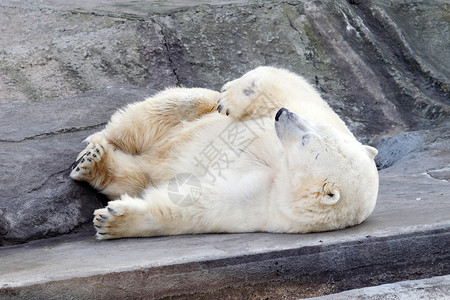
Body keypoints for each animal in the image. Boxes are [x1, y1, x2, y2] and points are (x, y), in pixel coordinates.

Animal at [71, 66, 380, 239]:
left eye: (306, 141)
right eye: (315, 128)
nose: (283, 115)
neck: (281, 171)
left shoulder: (260, 205)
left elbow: (190, 206)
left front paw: (112, 221)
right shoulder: (300, 117)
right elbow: (284, 84)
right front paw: (232, 96)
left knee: (139, 175)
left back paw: (94, 163)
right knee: (178, 105)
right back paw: (97, 144)